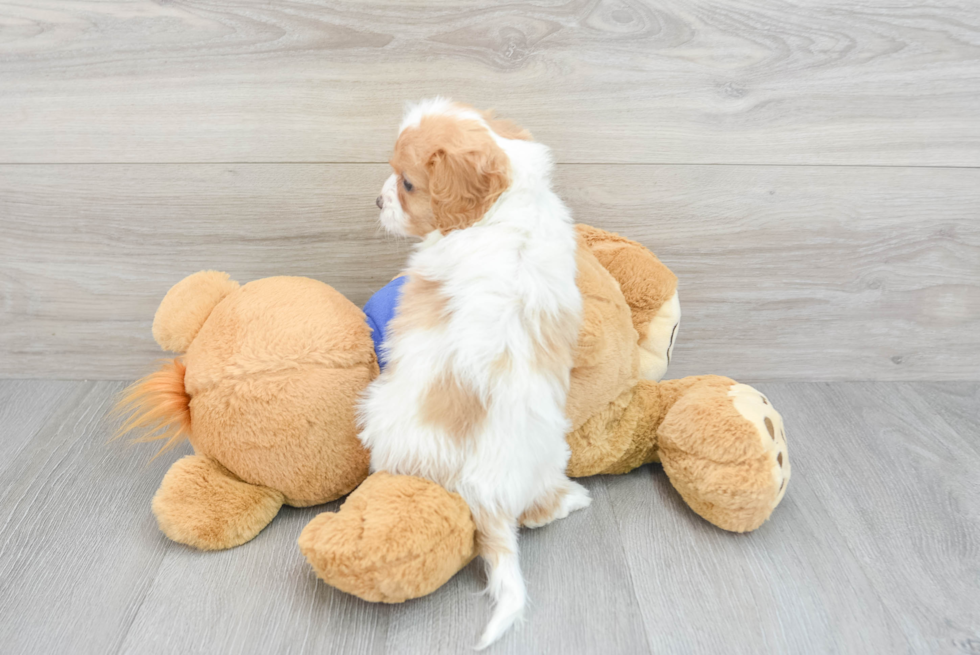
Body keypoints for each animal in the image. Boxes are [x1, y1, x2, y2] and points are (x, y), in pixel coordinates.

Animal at [360, 100, 588, 648]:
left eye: (407, 183)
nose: (376, 201)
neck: (507, 210)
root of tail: (486, 491)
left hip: (379, 418)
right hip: (552, 452)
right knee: (538, 511)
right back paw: (572, 500)